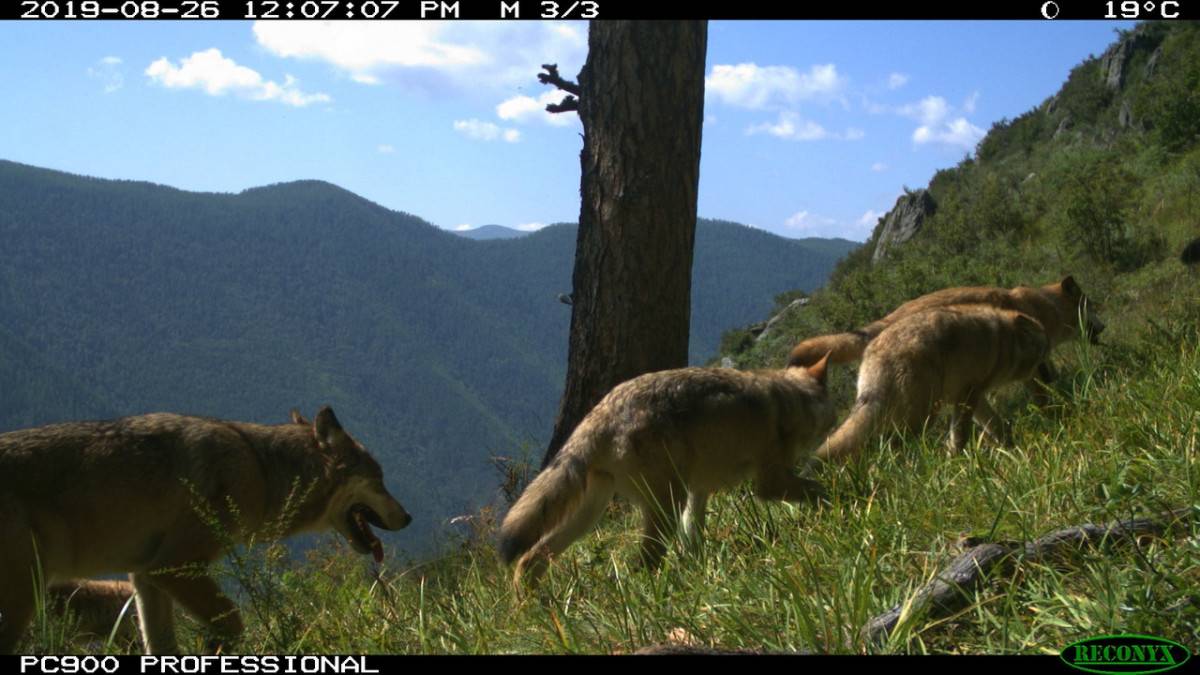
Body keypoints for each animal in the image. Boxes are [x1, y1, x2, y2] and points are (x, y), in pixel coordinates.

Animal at [1, 403, 412, 653]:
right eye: (380, 480)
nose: (409, 518)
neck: (261, 470)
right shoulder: (176, 568)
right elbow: (231, 622)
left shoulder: (147, 576)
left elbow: (162, 646)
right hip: (25, 593)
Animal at [496, 357, 835, 583]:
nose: (833, 426)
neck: (790, 400)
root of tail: (600, 413)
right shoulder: (769, 483)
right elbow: (819, 490)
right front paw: (839, 505)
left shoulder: (698, 491)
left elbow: (693, 538)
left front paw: (700, 573)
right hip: (663, 506)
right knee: (643, 562)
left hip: (594, 512)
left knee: (530, 558)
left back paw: (535, 612)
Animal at [816, 302, 1051, 458]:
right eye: (1043, 355)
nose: (1049, 377)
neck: (1004, 342)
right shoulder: (968, 396)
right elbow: (960, 435)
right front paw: (956, 459)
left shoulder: (972, 397)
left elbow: (995, 425)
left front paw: (1010, 446)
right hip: (924, 416)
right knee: (893, 447)